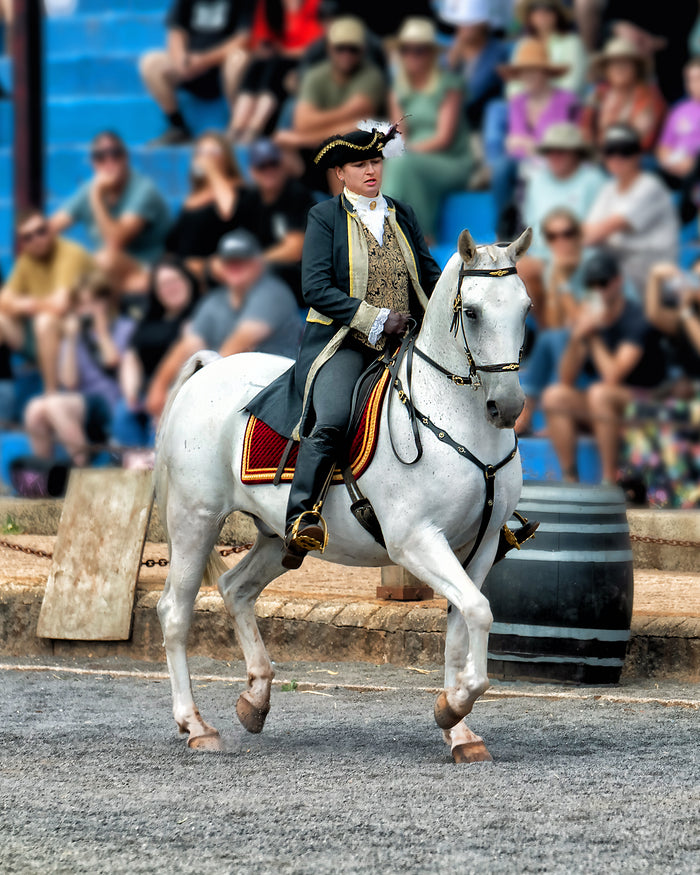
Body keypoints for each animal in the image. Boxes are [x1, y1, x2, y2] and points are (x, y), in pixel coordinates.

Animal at [154, 227, 533, 762]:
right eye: (474, 312)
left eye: (525, 307)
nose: (509, 406)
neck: (459, 422)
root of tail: (211, 367)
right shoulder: (416, 541)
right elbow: (479, 611)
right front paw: (453, 708)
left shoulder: (477, 548)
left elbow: (464, 626)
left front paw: (459, 729)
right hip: (195, 518)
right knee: (176, 610)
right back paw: (196, 724)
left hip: (276, 536)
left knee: (236, 588)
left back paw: (256, 698)